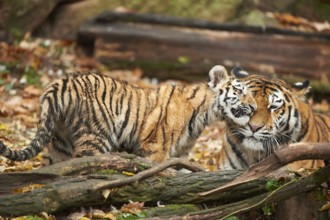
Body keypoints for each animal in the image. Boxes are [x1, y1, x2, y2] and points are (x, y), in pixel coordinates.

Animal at [0, 65, 255, 165]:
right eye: (240, 91)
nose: (254, 107)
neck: (206, 113)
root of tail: (60, 83)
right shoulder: (155, 149)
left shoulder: (180, 153)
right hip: (97, 137)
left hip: (60, 142)